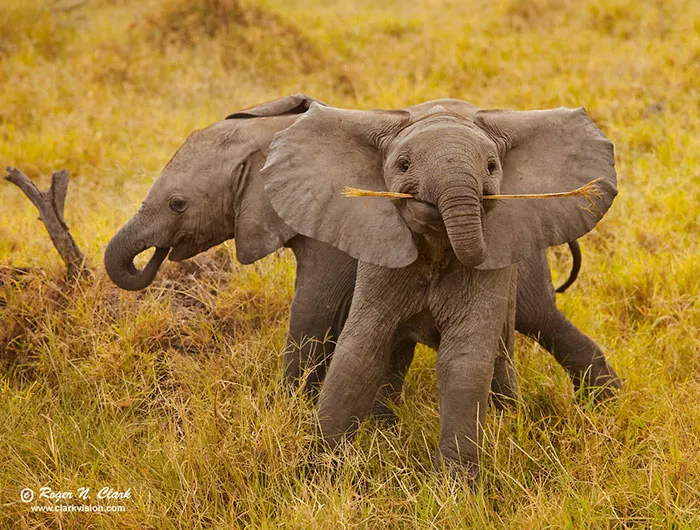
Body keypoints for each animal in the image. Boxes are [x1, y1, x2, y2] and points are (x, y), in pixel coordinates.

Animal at [104, 95, 621, 420]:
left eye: (178, 204)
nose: (154, 259)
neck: (270, 134)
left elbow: (313, 311)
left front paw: (288, 408)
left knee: (542, 319)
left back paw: (604, 410)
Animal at [258, 99, 618, 478]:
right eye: (403, 165)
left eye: (492, 166)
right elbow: (360, 351)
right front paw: (316, 474)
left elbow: (463, 360)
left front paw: (454, 488)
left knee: (532, 327)